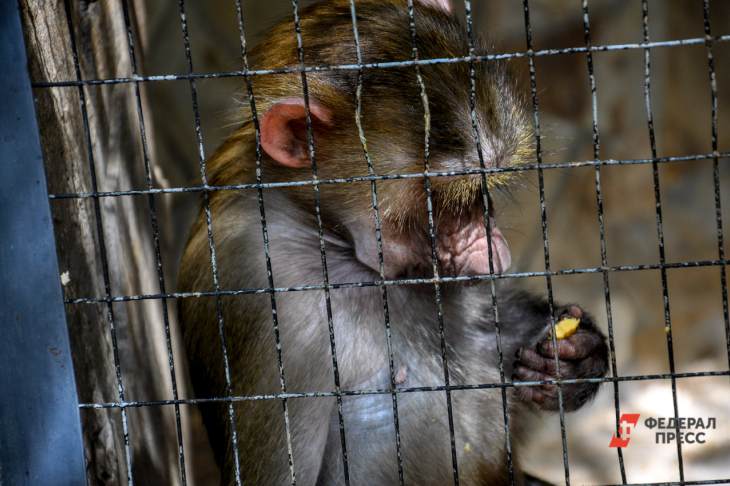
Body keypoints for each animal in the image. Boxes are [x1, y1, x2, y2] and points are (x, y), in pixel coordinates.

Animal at [178, 0, 608, 484]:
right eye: (442, 199)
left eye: (481, 193)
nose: (491, 243)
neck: (327, 235)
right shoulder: (252, 270)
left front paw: (575, 358)